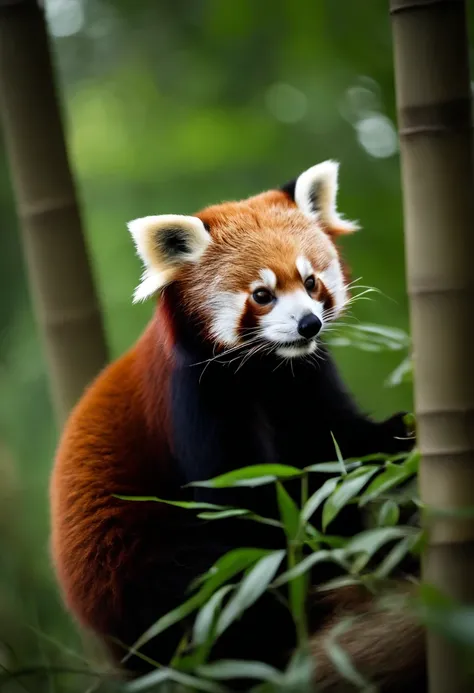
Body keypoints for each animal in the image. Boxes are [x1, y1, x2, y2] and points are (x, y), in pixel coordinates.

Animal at [50, 161, 424, 688]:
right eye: (262, 295)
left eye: (311, 282)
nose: (308, 324)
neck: (266, 371)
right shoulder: (198, 399)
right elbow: (246, 502)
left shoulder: (306, 379)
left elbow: (338, 446)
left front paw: (403, 432)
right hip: (134, 567)